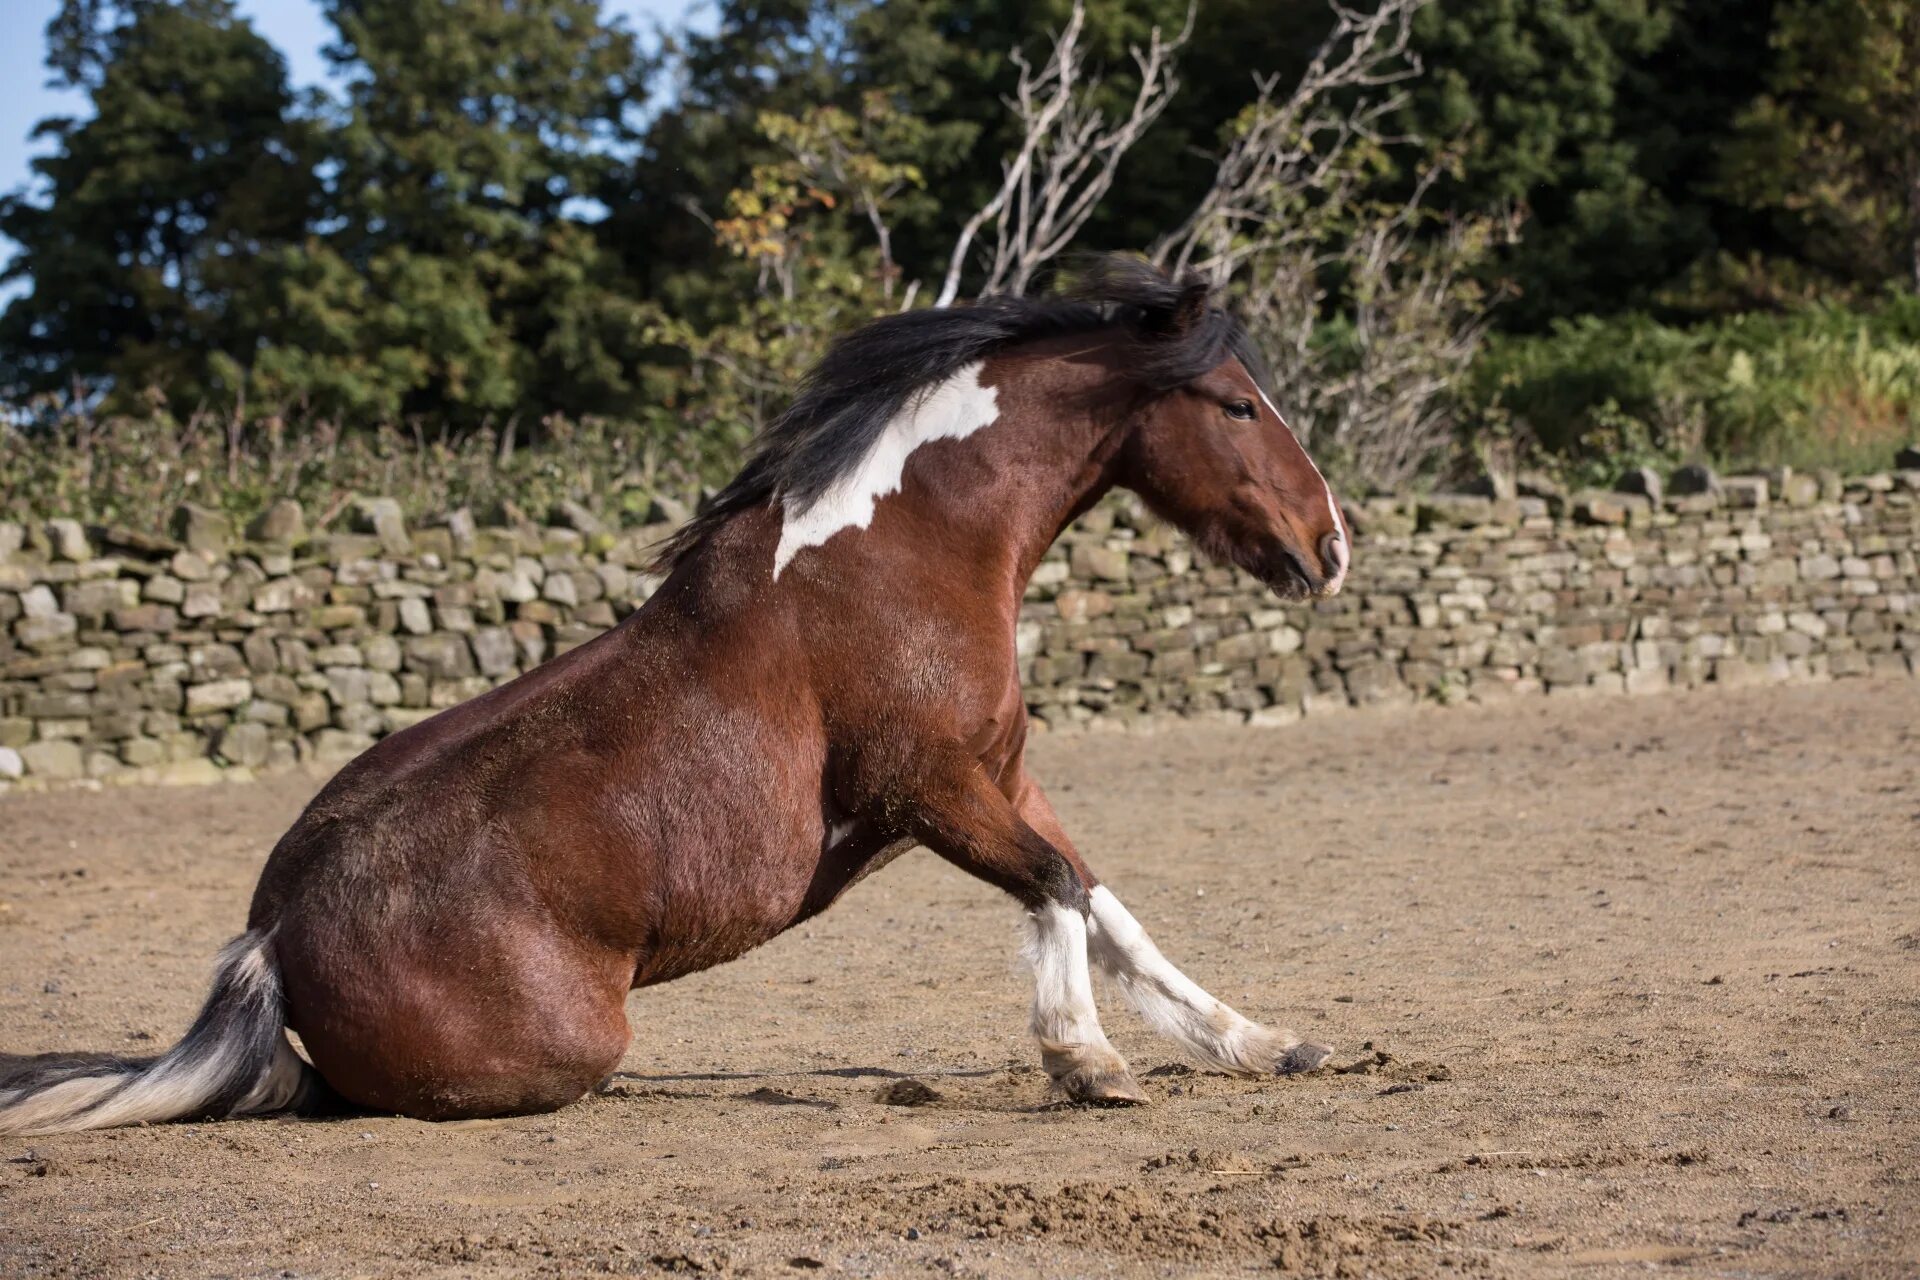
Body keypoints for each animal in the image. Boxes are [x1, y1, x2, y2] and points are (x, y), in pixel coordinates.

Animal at [0, 255, 1351, 1136]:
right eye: (1238, 404)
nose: (1331, 546)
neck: (901, 555)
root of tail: (272, 933)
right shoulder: (930, 789)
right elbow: (1061, 890)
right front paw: (1087, 1062)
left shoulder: (1003, 777)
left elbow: (1111, 908)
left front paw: (1260, 1041)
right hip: (571, 1046)